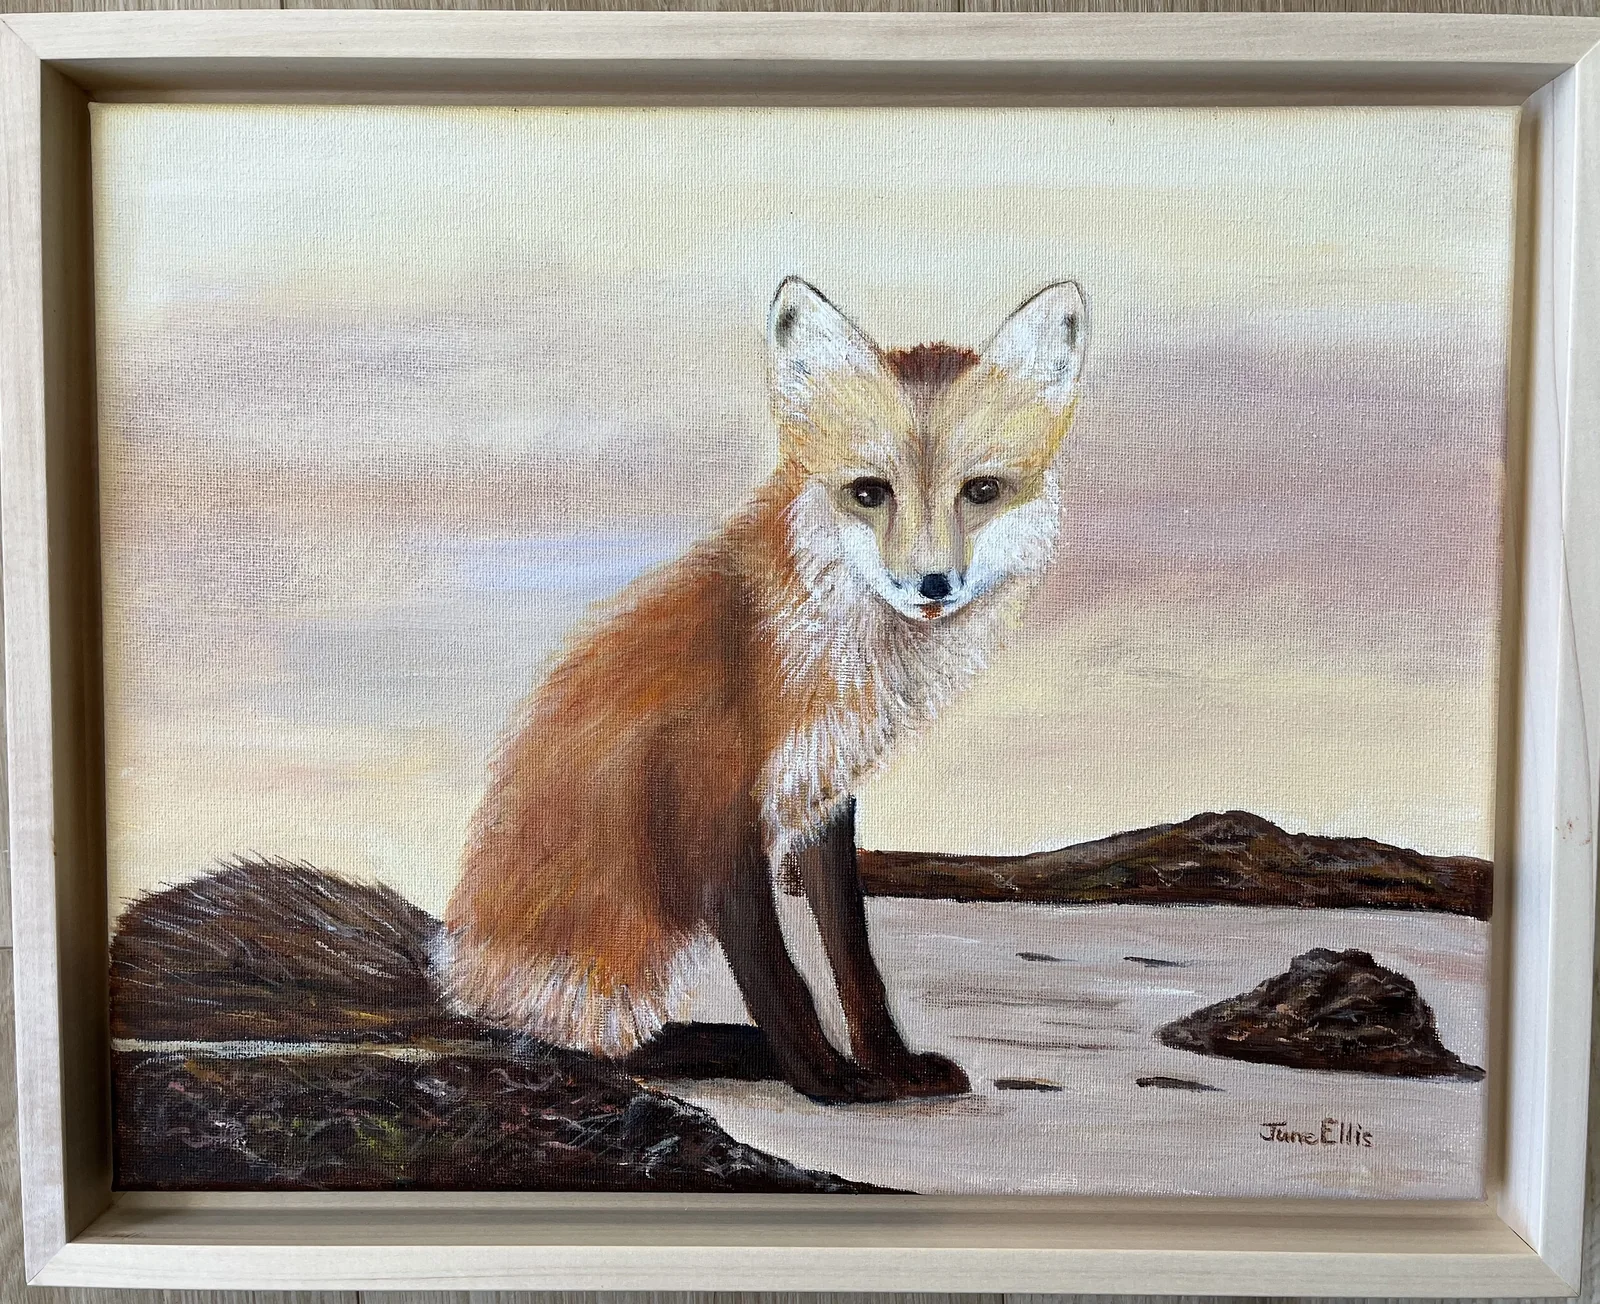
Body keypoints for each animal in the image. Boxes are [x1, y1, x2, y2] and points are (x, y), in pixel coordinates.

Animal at [438, 276, 1088, 1104]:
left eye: (981, 491)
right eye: (869, 492)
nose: (932, 585)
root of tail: (456, 979)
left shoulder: (820, 799)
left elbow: (855, 962)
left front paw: (889, 1064)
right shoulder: (711, 806)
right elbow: (781, 981)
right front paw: (829, 1080)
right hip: (634, 945)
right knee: (584, 1043)